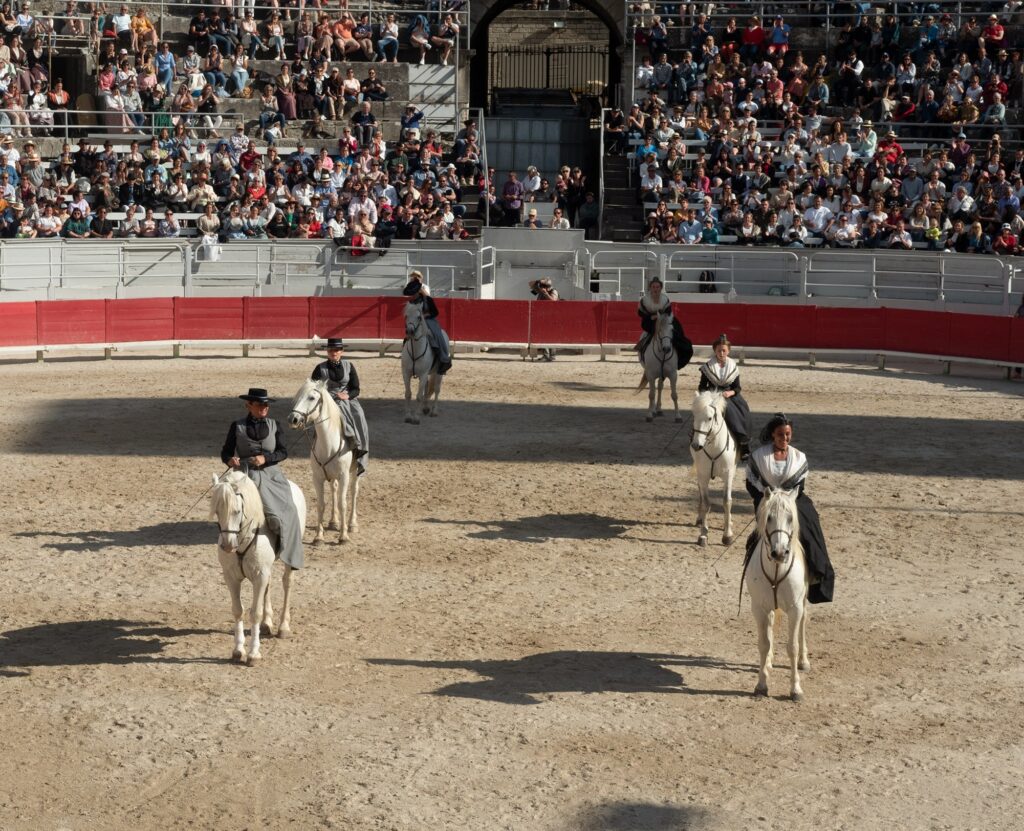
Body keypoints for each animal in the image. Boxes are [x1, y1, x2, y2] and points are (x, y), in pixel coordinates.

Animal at [207, 470, 303, 667]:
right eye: (217, 512)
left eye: (237, 511)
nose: (228, 546)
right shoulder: (232, 577)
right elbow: (238, 610)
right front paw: (238, 650)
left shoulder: (259, 576)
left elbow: (255, 613)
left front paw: (253, 654)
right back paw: (267, 623)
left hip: (289, 559)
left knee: (287, 583)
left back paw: (283, 626)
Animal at [688, 392, 737, 548]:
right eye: (694, 416)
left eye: (709, 418)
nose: (696, 445)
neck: (714, 447)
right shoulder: (703, 475)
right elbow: (706, 502)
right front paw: (703, 534)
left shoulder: (728, 475)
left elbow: (727, 501)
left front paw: (727, 535)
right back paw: (699, 519)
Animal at [745, 487, 806, 700]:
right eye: (769, 517)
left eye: (790, 518)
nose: (779, 553)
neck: (777, 569)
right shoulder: (759, 609)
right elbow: (764, 644)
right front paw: (761, 684)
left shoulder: (795, 608)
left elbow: (792, 647)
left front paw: (796, 689)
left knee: (804, 624)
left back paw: (804, 661)